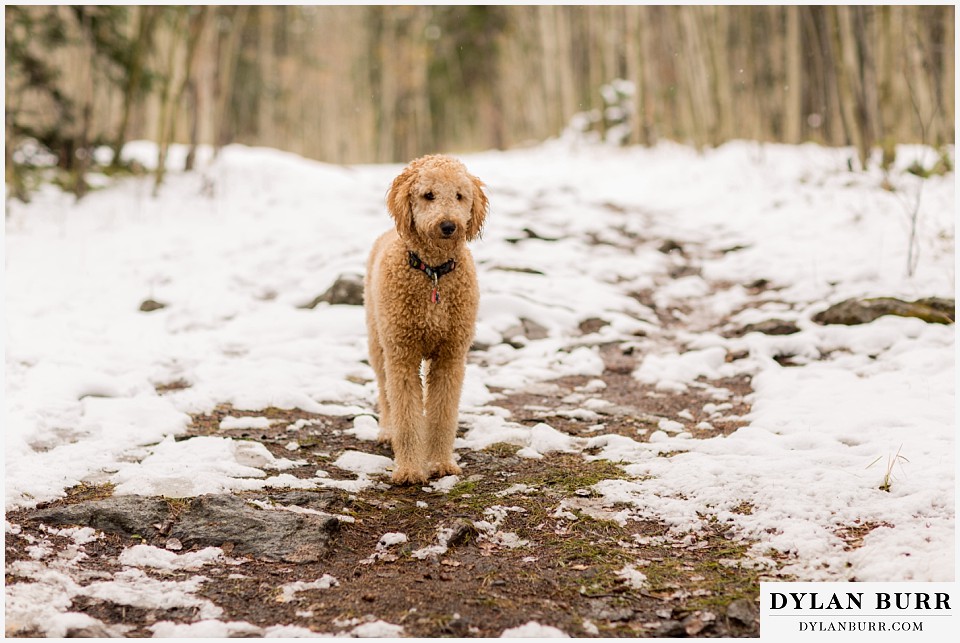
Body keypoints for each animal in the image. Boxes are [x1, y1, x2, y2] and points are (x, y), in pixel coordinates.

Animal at [366, 156, 492, 486]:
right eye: (428, 195)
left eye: (459, 196)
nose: (448, 225)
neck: (433, 272)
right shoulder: (402, 355)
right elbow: (406, 415)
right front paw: (410, 469)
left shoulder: (451, 356)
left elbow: (442, 414)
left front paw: (440, 463)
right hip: (378, 342)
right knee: (385, 393)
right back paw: (387, 431)